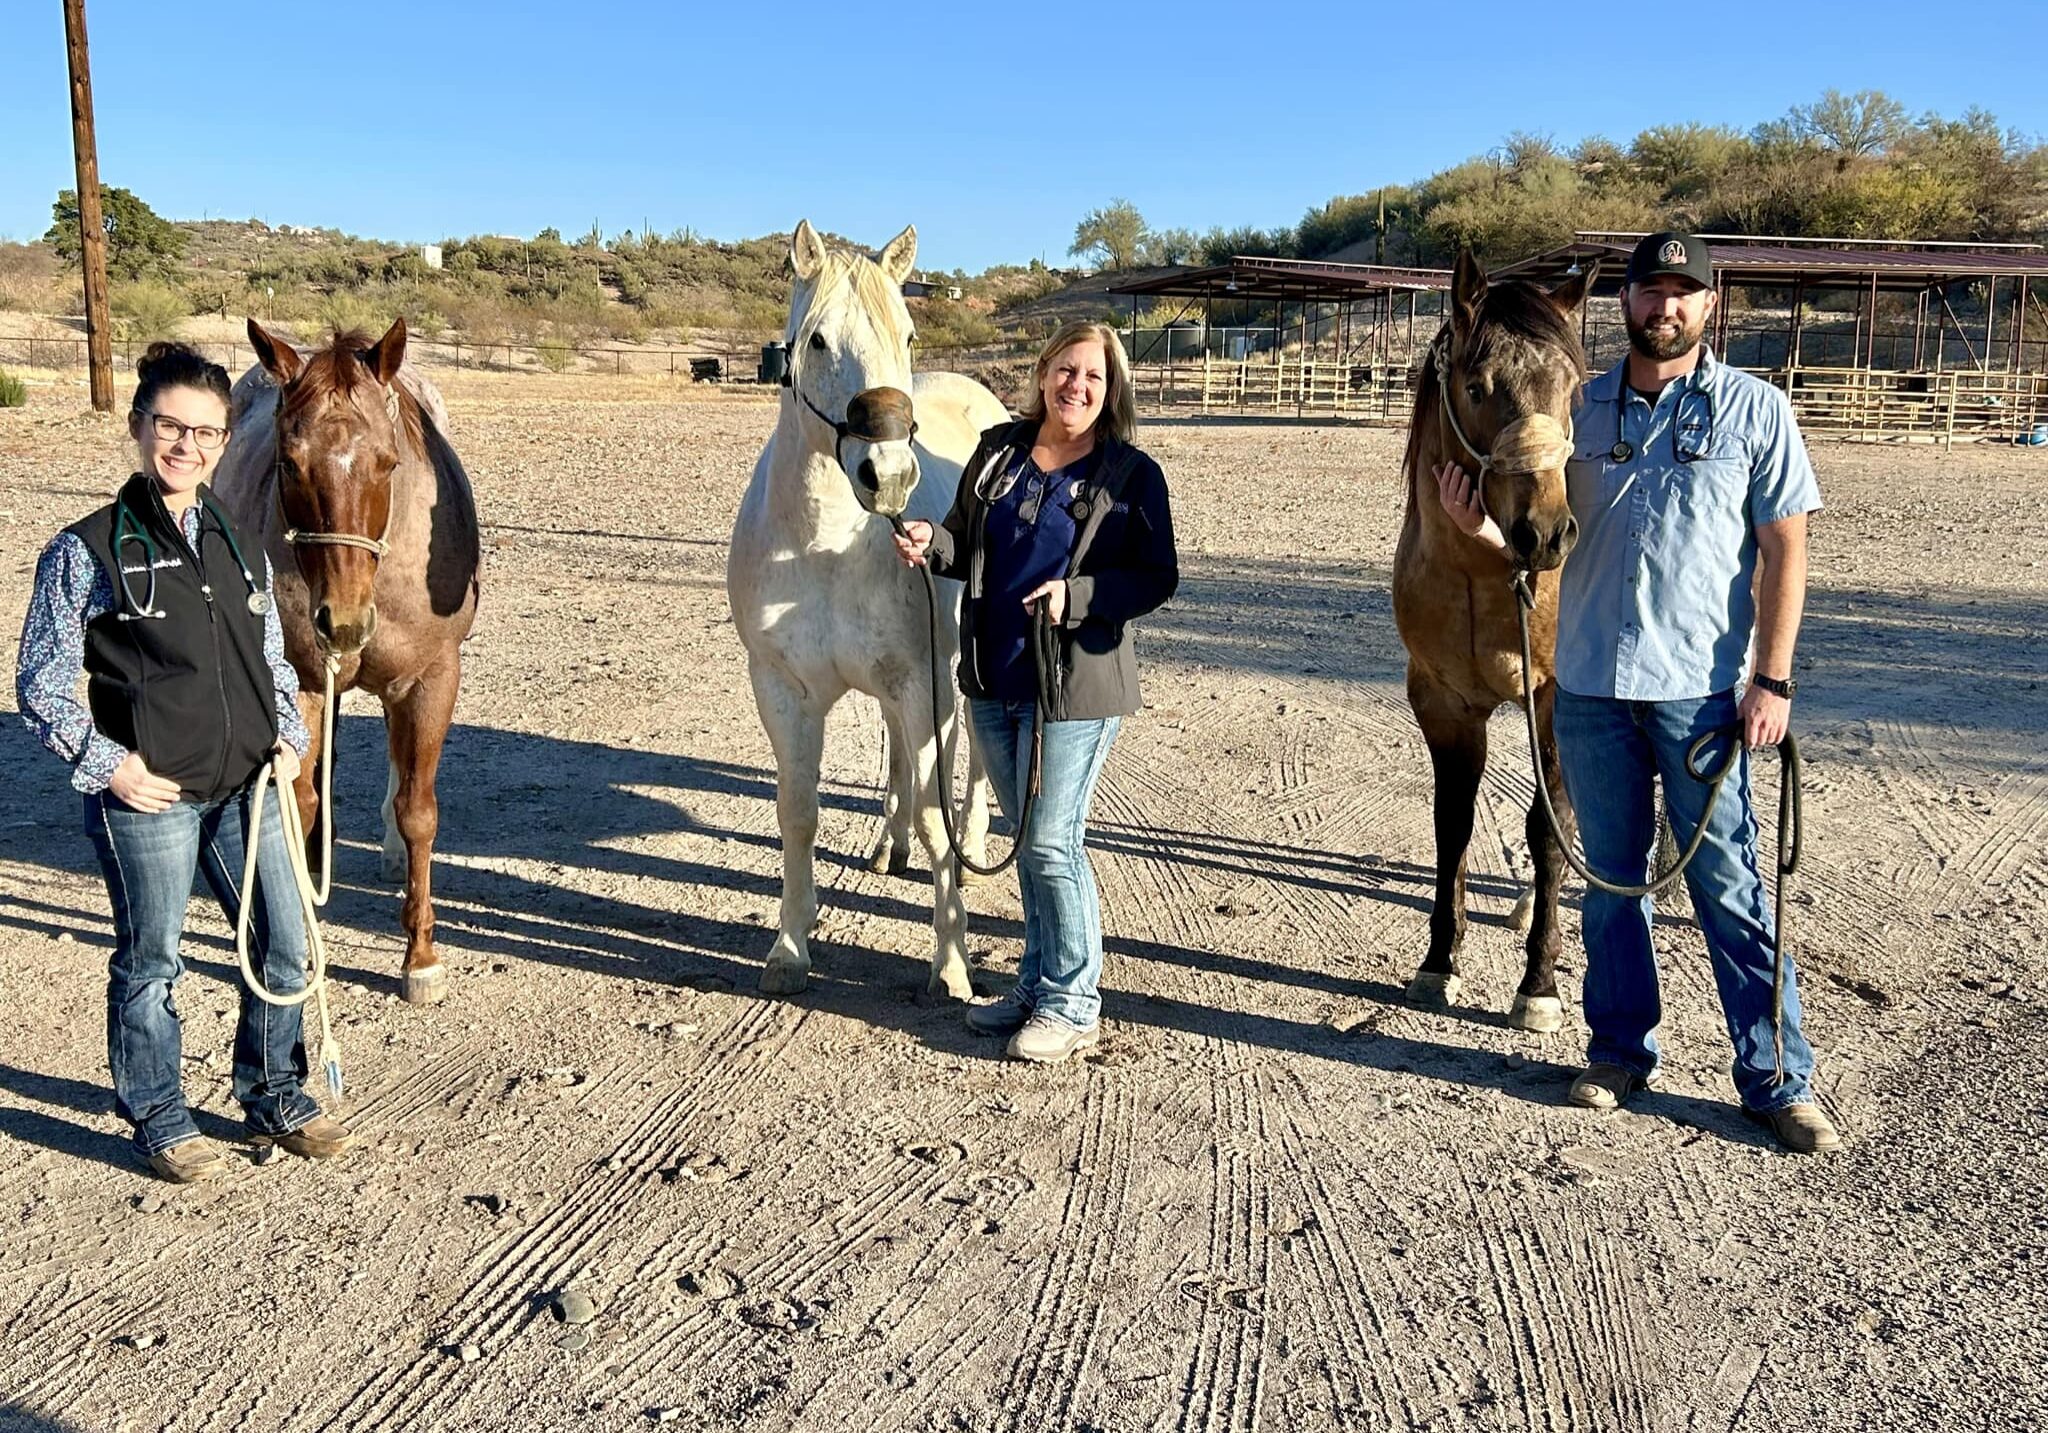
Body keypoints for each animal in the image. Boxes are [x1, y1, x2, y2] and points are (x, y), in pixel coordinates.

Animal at [212, 318, 481, 1006]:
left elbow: (419, 810)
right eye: (289, 464)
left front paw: (420, 955)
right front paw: (304, 924)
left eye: (388, 463)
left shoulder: (430, 680)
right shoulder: (303, 682)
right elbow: (300, 800)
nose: (345, 621)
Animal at [728, 219, 1008, 1000]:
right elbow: (798, 814)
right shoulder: (783, 691)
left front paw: (952, 961)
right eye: (817, 340)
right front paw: (790, 946)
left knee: (974, 766)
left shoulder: (926, 687)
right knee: (898, 761)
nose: (889, 475)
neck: (824, 548)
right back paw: (889, 843)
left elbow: (938, 816)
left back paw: (975, 840)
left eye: (908, 335)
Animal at [1391, 248, 1594, 1032]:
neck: (1484, 574)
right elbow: (1452, 823)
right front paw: (1438, 960)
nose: (1548, 535)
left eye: (1572, 386)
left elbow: (1546, 825)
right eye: (1477, 386)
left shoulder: (1555, 698)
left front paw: (1538, 983)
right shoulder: (1444, 703)